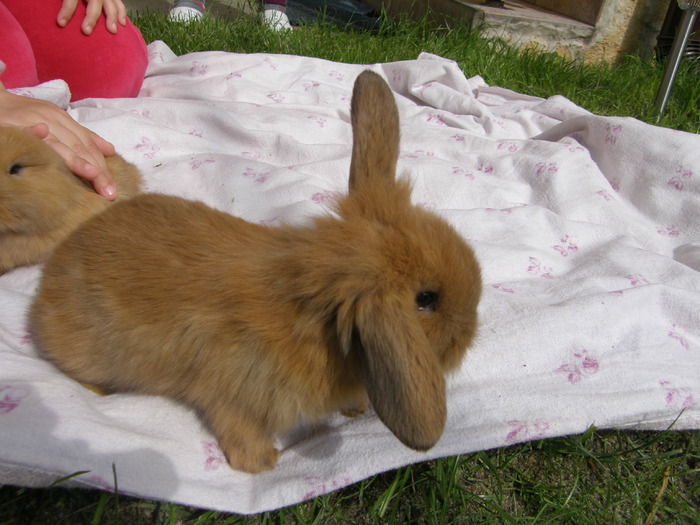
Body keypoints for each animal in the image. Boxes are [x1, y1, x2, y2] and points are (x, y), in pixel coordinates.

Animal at [31, 70, 482, 474]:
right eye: (426, 299)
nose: (469, 335)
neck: (313, 318)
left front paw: (355, 408)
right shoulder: (232, 392)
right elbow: (239, 427)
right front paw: (262, 465)